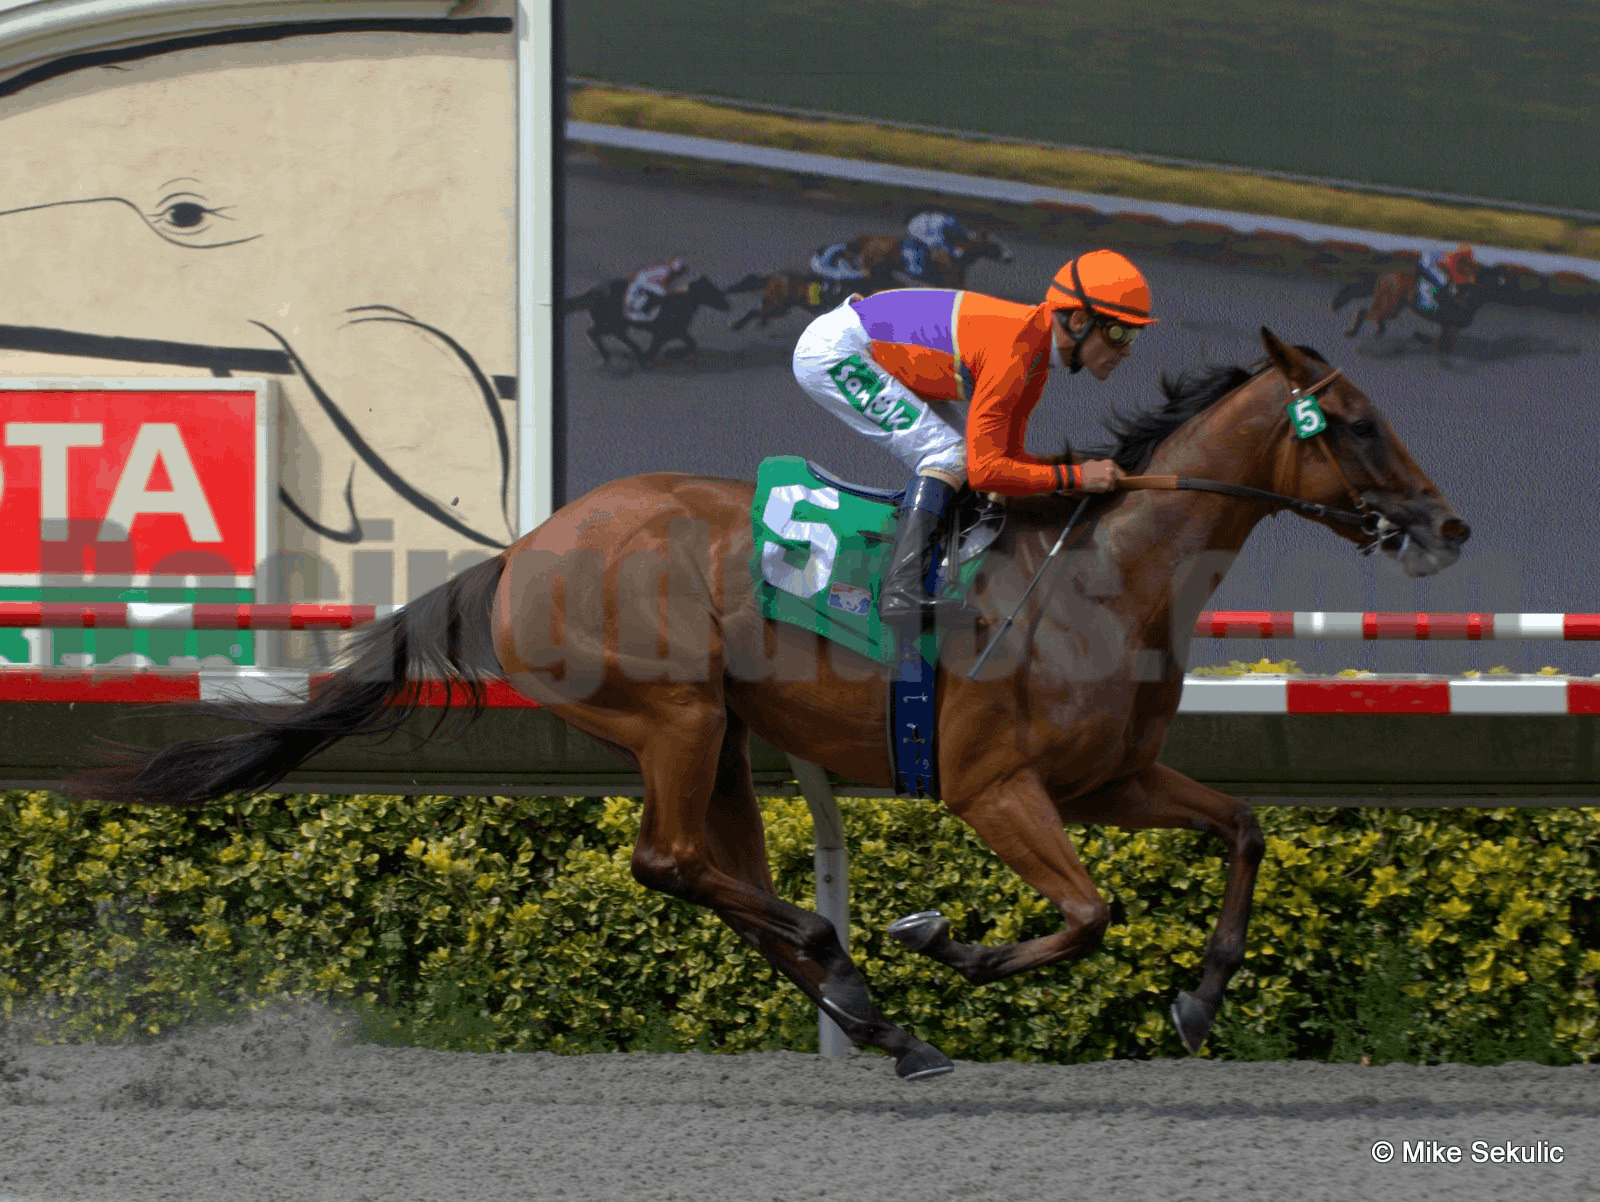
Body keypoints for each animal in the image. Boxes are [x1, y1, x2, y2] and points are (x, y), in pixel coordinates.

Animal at [72, 329, 1468, 1081]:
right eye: (1353, 422)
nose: (1445, 524)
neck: (1099, 571)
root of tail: (522, 549)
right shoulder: (992, 784)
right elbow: (1086, 912)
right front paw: (952, 940)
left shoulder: (1109, 780)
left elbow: (1242, 827)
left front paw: (1198, 997)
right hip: (675, 714)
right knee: (670, 860)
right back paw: (854, 965)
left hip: (729, 735)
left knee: (712, 872)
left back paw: (872, 1012)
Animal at [564, 275, 730, 366]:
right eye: (712, 292)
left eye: (716, 289)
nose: (728, 305)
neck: (681, 301)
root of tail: (590, 292)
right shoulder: (665, 331)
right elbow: (659, 346)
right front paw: (665, 354)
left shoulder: (678, 330)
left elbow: (692, 343)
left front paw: (669, 354)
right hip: (611, 321)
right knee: (594, 332)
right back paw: (612, 354)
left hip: (615, 323)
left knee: (612, 334)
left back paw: (633, 352)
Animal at [1332, 263, 1511, 354]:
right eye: (1493, 278)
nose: (1506, 285)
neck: (1469, 296)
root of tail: (1384, 275)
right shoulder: (1450, 325)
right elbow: (1441, 343)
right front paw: (1419, 336)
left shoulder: (1448, 326)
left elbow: (1443, 344)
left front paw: (1421, 338)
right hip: (1391, 305)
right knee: (1364, 312)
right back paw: (1352, 332)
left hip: (1392, 305)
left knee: (1375, 315)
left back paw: (1380, 330)